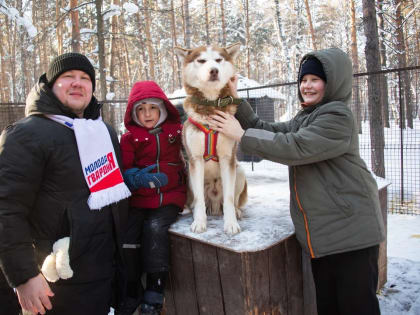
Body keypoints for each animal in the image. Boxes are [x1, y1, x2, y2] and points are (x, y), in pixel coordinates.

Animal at [176, 43, 248, 235]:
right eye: (201, 61)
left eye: (218, 60)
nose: (214, 70)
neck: (210, 107)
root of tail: (215, 204)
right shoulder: (195, 160)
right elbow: (199, 199)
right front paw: (199, 222)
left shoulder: (227, 158)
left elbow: (229, 198)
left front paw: (230, 223)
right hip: (189, 175)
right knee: (197, 200)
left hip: (239, 171)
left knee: (233, 200)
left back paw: (237, 212)